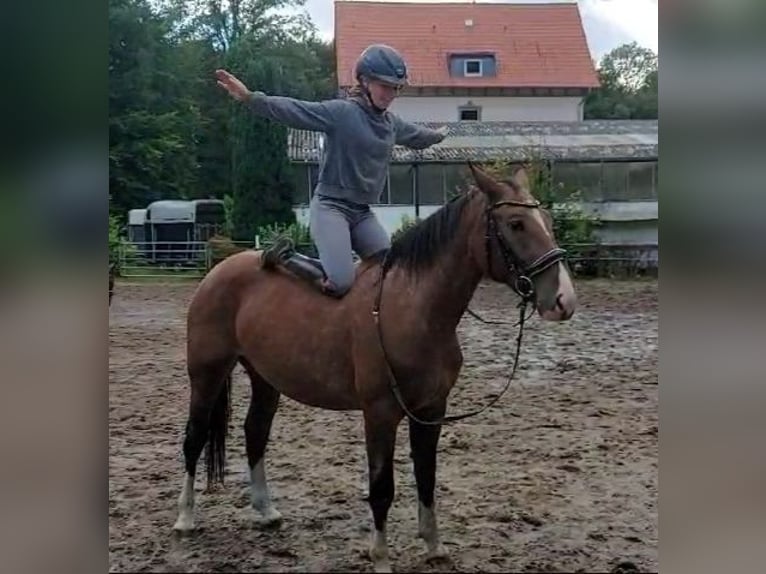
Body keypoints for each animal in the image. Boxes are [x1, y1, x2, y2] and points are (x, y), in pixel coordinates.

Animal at [170, 161, 576, 572]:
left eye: (546, 220)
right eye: (516, 224)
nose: (563, 300)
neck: (413, 309)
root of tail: (220, 269)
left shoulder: (431, 410)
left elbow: (426, 475)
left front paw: (433, 545)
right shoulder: (380, 414)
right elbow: (382, 487)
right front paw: (380, 557)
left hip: (266, 378)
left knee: (255, 432)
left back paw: (266, 510)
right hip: (207, 373)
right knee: (194, 437)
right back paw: (185, 518)